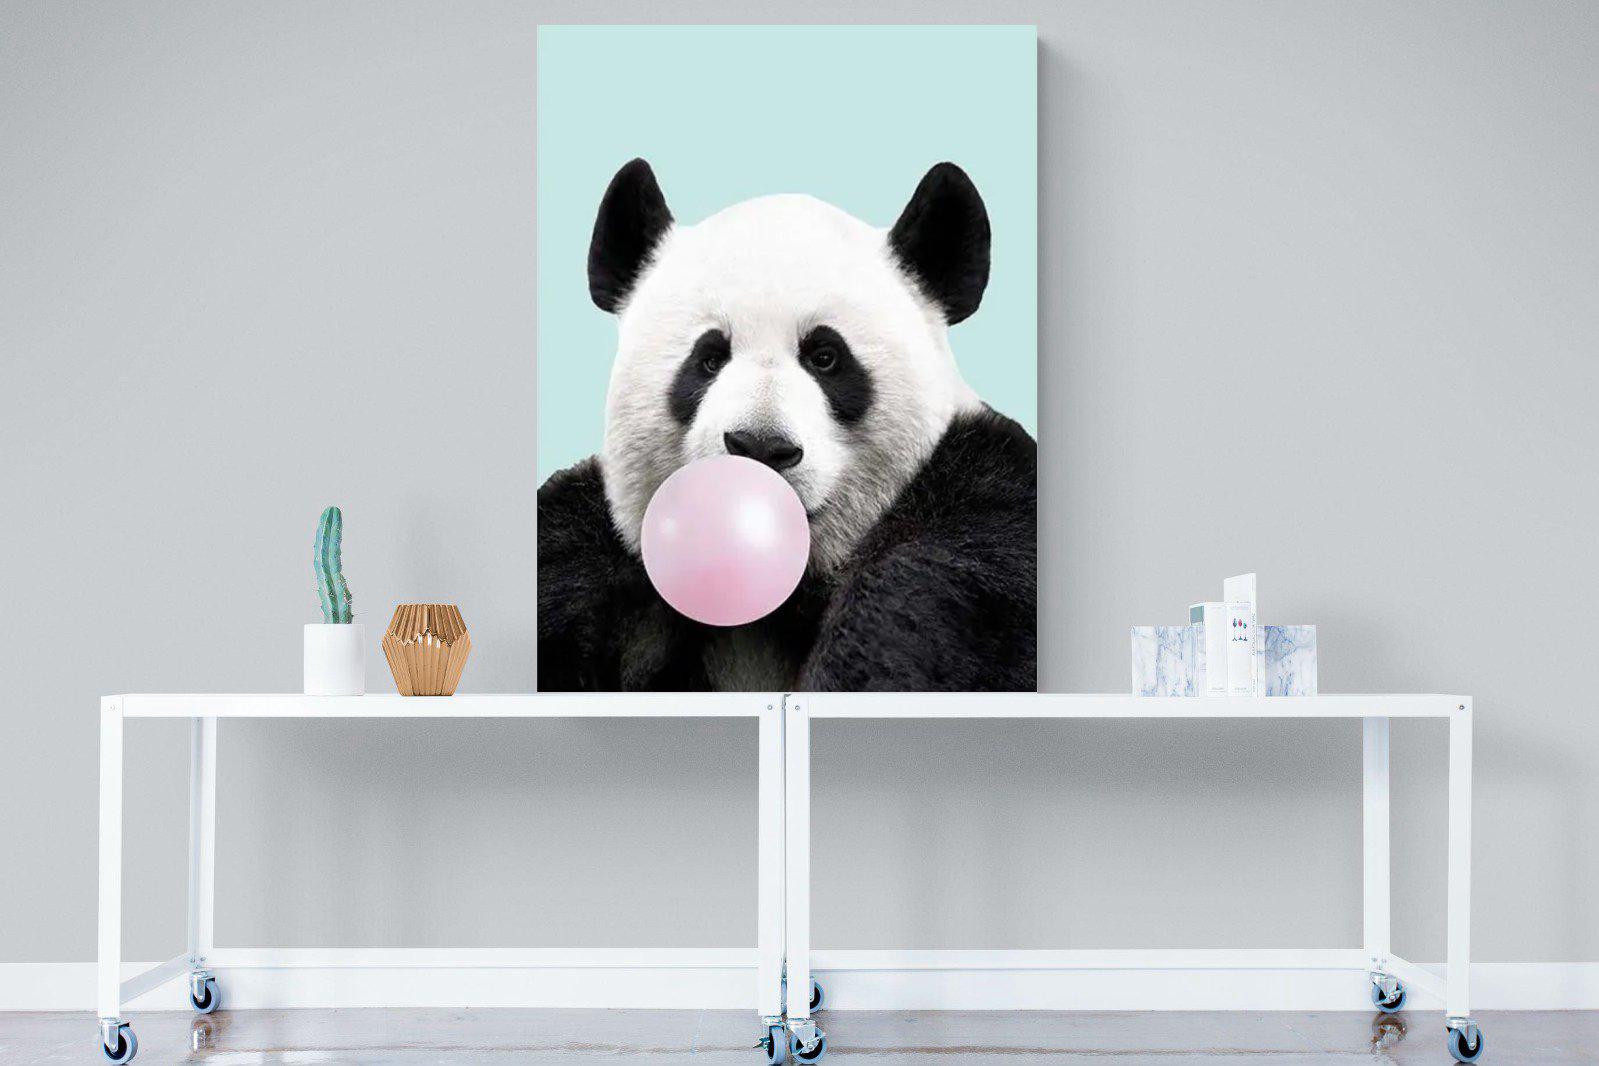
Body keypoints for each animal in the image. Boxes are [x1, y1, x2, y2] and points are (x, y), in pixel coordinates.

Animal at [538, 159, 1036, 692]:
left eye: (826, 357)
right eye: (709, 359)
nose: (760, 447)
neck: (775, 599)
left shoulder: (985, 518)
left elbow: (929, 603)